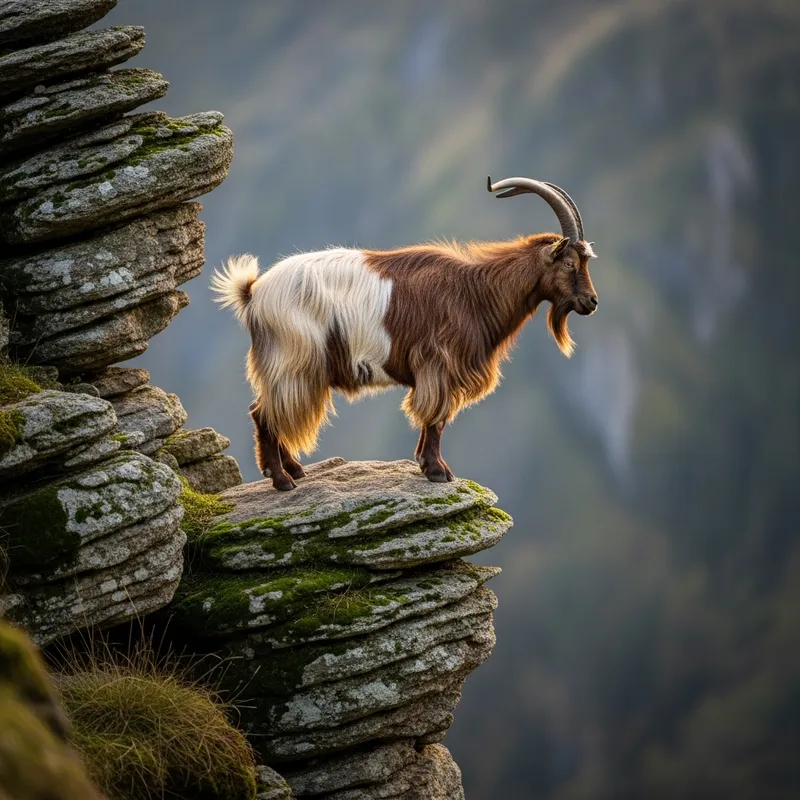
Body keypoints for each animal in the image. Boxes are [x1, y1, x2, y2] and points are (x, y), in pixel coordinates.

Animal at [212, 176, 598, 490]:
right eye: (569, 263)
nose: (591, 302)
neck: (476, 291)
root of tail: (253, 293)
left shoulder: (435, 371)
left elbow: (433, 420)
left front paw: (428, 466)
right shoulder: (439, 364)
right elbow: (436, 418)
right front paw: (437, 471)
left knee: (266, 410)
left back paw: (293, 470)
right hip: (295, 361)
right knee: (264, 413)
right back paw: (282, 480)